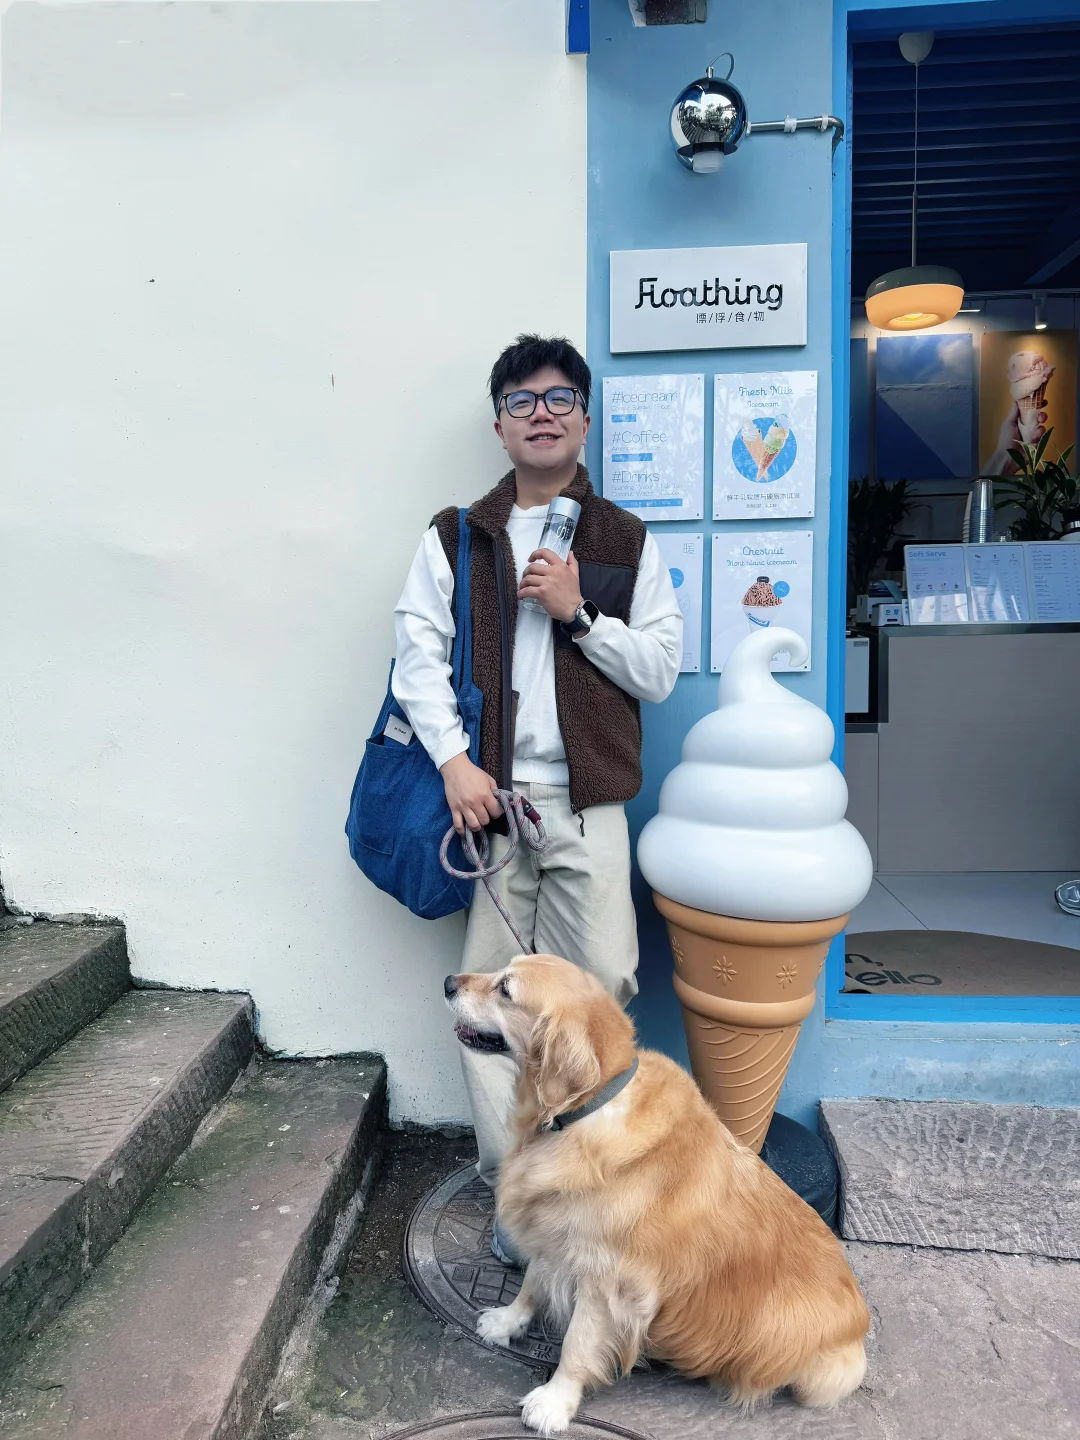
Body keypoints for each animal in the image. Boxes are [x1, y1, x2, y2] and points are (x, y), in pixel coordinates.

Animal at [443, 950, 875, 1434]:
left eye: (505, 989)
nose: (448, 982)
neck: (583, 1111)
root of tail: (859, 1325)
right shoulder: (557, 1232)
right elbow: (532, 1285)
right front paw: (506, 1322)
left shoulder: (609, 1280)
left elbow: (577, 1342)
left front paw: (555, 1401)